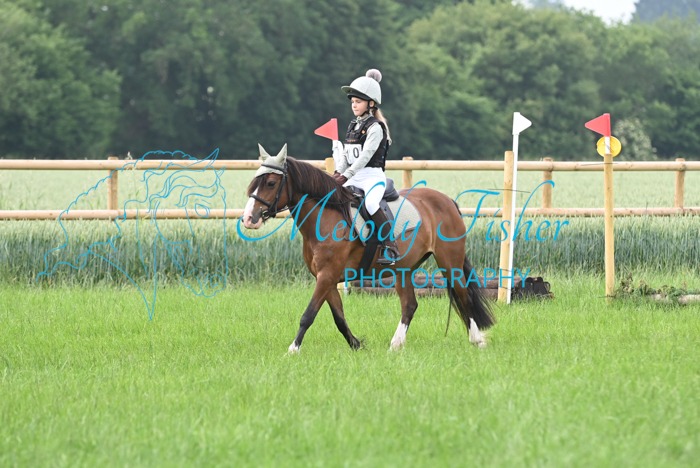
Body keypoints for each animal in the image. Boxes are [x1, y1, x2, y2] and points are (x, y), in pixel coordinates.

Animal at [240, 144, 494, 353]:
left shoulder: (327, 275)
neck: (325, 217)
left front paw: (293, 349)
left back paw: (477, 340)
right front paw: (357, 345)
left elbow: (309, 314)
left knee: (463, 296)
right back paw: (395, 345)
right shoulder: (327, 278)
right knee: (410, 305)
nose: (249, 219)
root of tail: (447, 201)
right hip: (404, 269)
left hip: (449, 262)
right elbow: (339, 317)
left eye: (271, 183)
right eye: (254, 182)